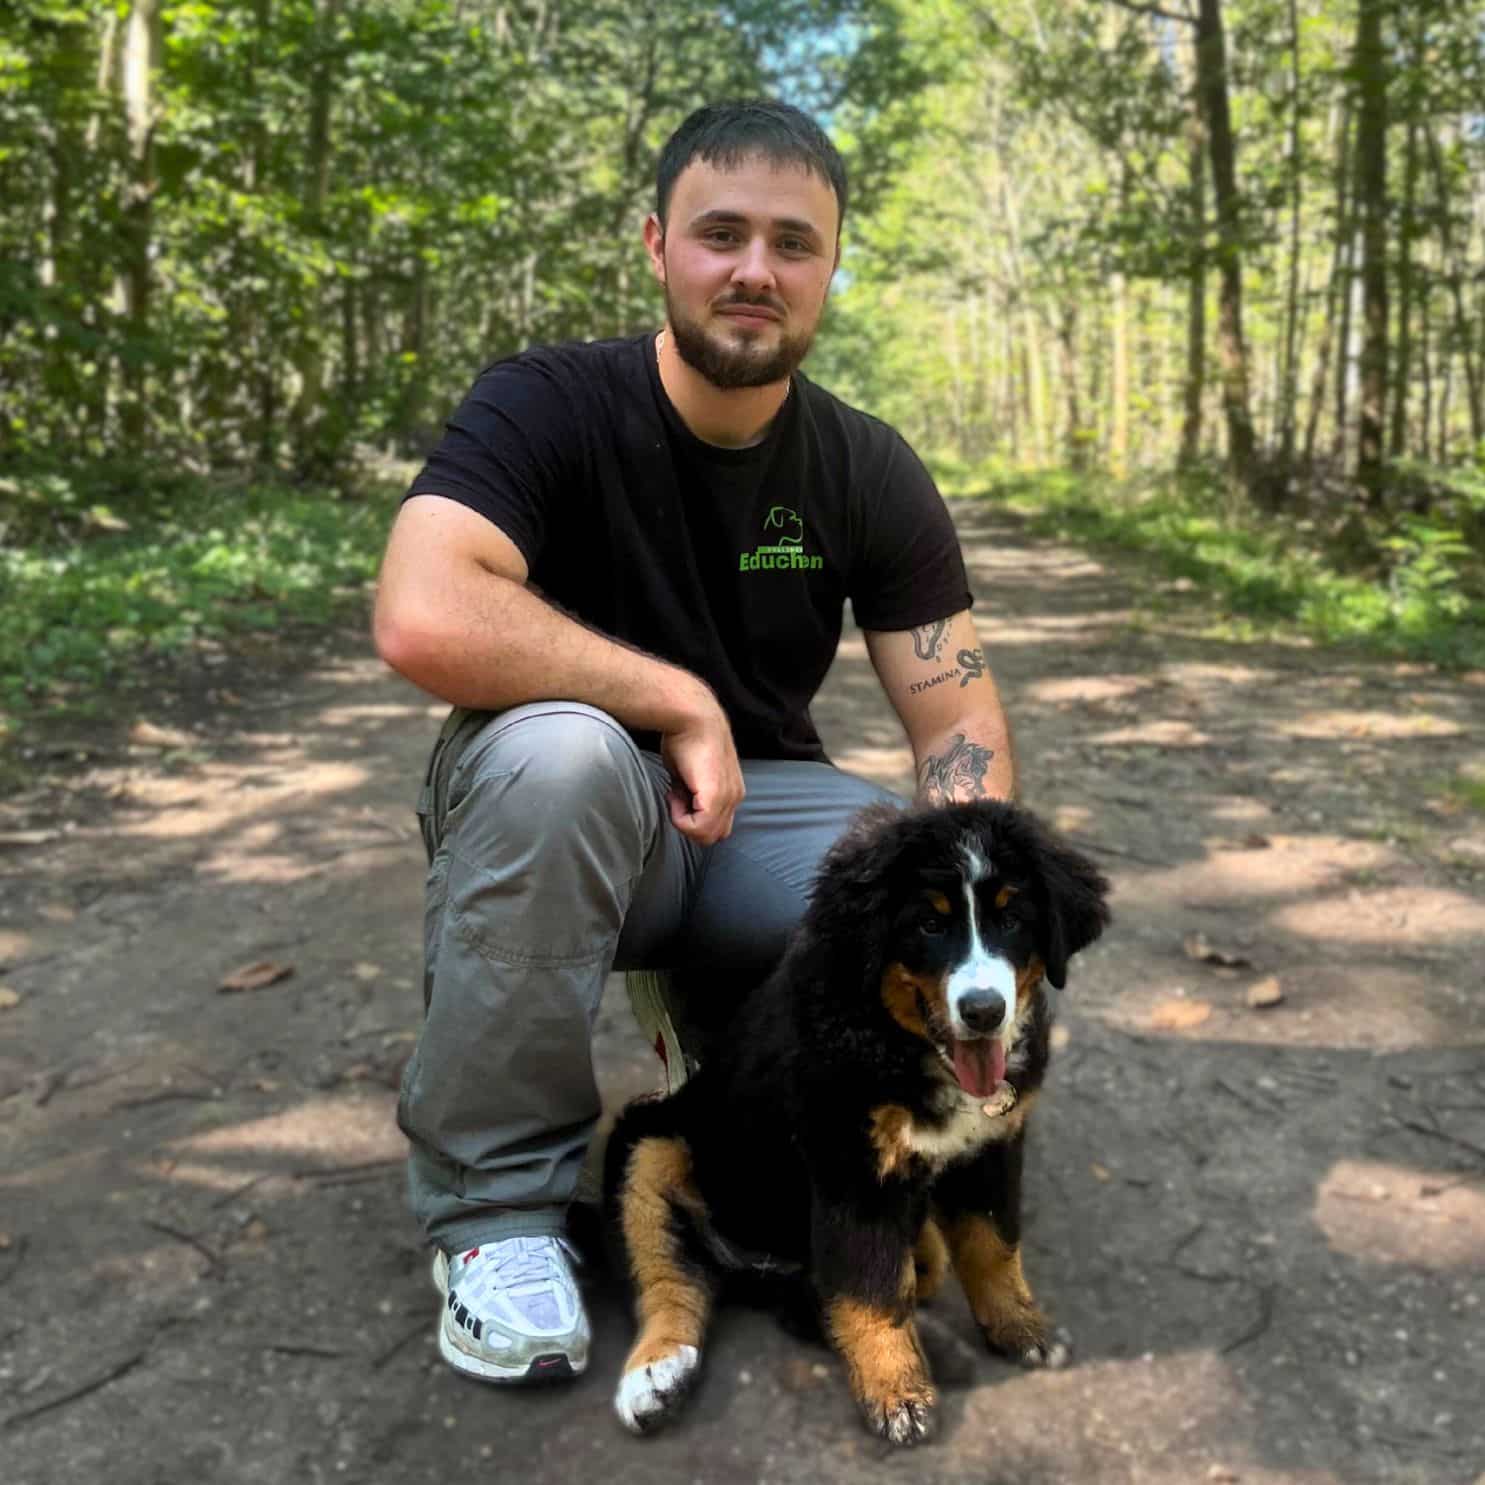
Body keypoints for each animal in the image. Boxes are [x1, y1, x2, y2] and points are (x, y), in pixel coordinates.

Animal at [599, 807, 1104, 1443]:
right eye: (929, 926)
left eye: (1012, 919)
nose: (984, 1011)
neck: (899, 1044)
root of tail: (757, 1265)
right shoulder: (852, 1170)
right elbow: (872, 1287)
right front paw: (898, 1395)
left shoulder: (991, 1149)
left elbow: (992, 1246)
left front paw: (1021, 1327)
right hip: (650, 1141)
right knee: (667, 1276)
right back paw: (656, 1376)